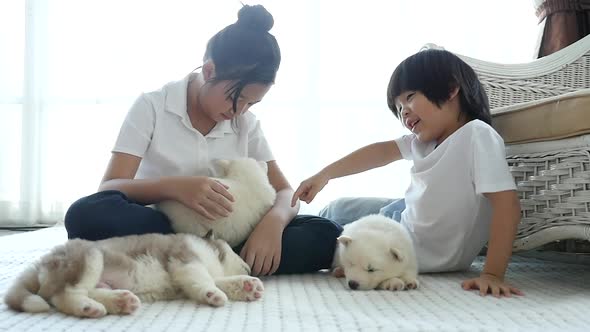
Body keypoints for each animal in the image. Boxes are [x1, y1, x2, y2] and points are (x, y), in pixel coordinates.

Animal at [4, 232, 264, 318]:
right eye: (236, 251)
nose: (250, 267)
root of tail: (42, 261)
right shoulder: (185, 260)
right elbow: (206, 279)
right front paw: (213, 294)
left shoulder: (187, 276)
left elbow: (222, 281)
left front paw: (247, 286)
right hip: (89, 258)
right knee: (61, 294)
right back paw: (89, 308)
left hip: (98, 279)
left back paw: (121, 301)